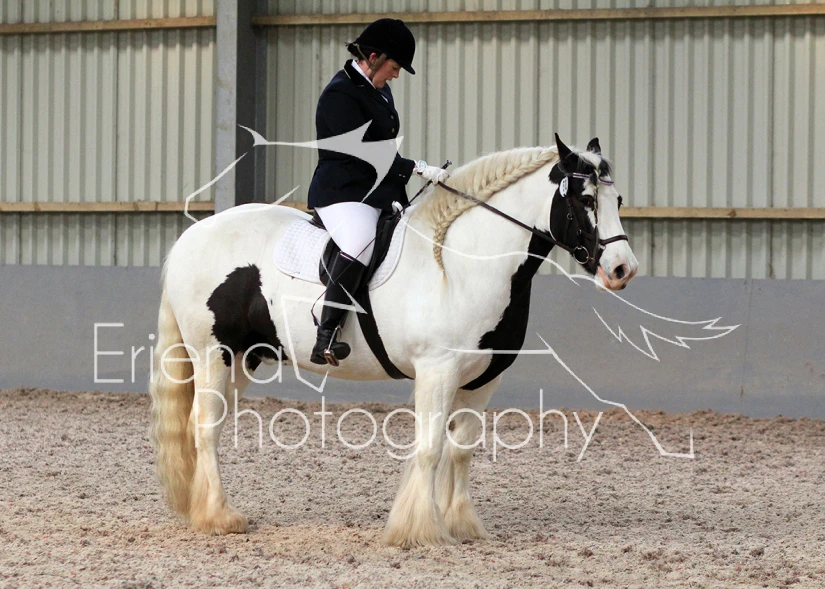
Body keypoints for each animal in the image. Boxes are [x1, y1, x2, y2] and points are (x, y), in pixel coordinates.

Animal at [148, 135, 639, 548]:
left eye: (616, 199)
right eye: (586, 199)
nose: (622, 269)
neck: (463, 262)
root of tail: (192, 235)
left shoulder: (483, 380)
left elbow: (461, 449)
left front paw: (462, 524)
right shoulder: (437, 372)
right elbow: (430, 448)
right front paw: (419, 530)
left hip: (243, 360)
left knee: (204, 426)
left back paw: (203, 510)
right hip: (213, 354)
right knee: (205, 426)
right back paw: (220, 518)